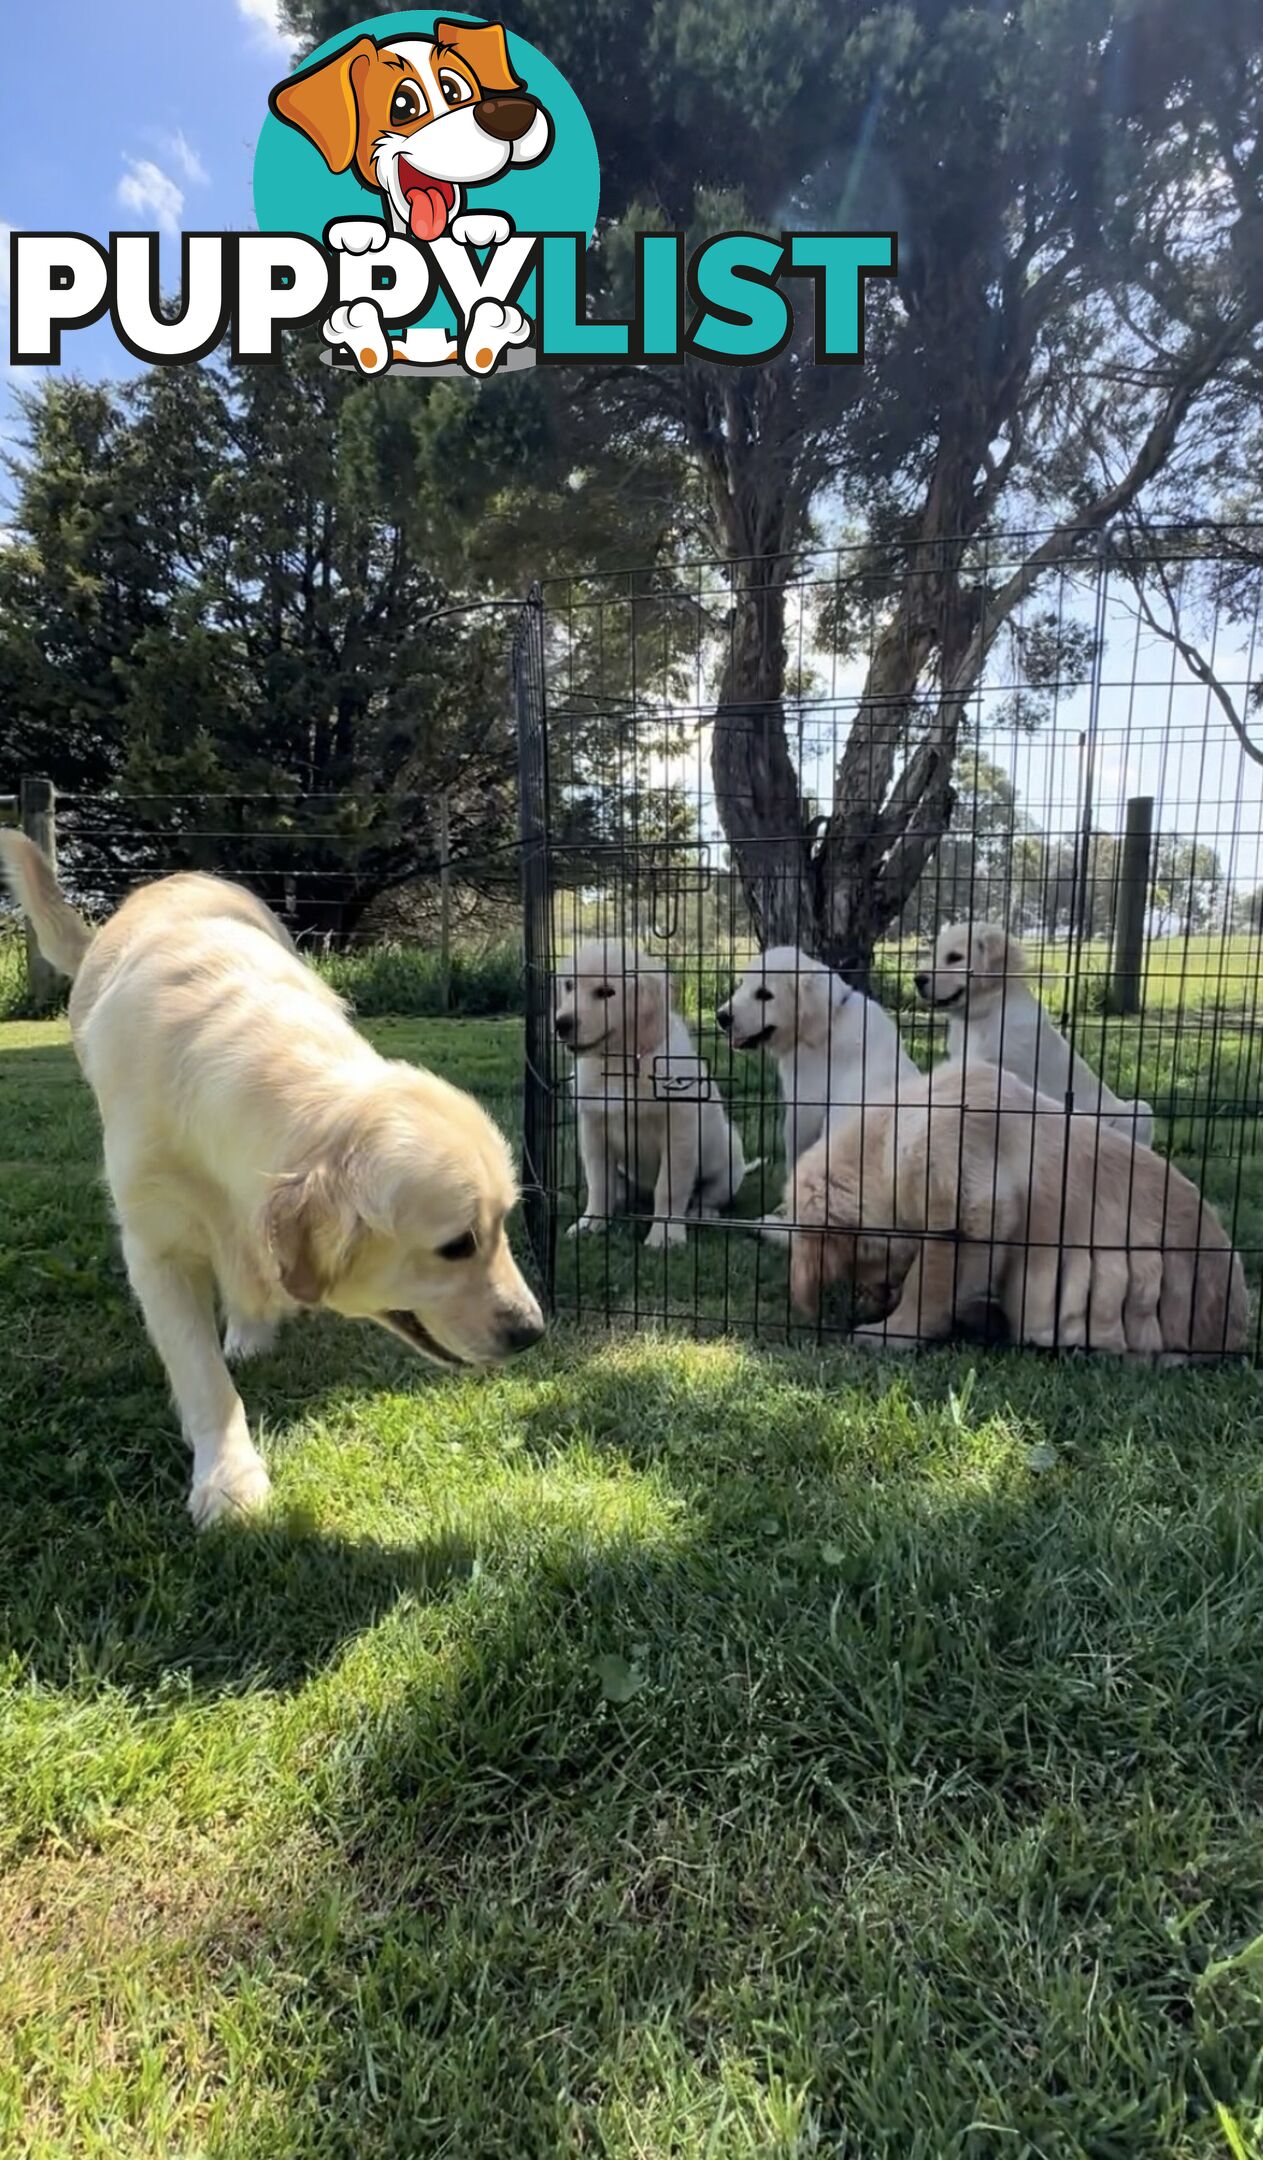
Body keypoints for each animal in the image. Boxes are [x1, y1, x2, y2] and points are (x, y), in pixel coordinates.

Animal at [0, 833, 541, 1529]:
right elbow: (201, 1374)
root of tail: (180, 877)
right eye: (456, 1245)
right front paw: (228, 1479)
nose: (532, 1332)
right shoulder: (156, 1244)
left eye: (503, 1226)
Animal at [552, 941, 747, 1252]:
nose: (561, 1024)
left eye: (606, 992)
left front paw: (665, 1234)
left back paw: (703, 1211)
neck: (619, 1063)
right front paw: (590, 1223)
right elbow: (598, 1182)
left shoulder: (678, 1132)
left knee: (709, 1194)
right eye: (569, 985)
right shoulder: (592, 1127)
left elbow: (669, 1188)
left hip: (729, 1155)